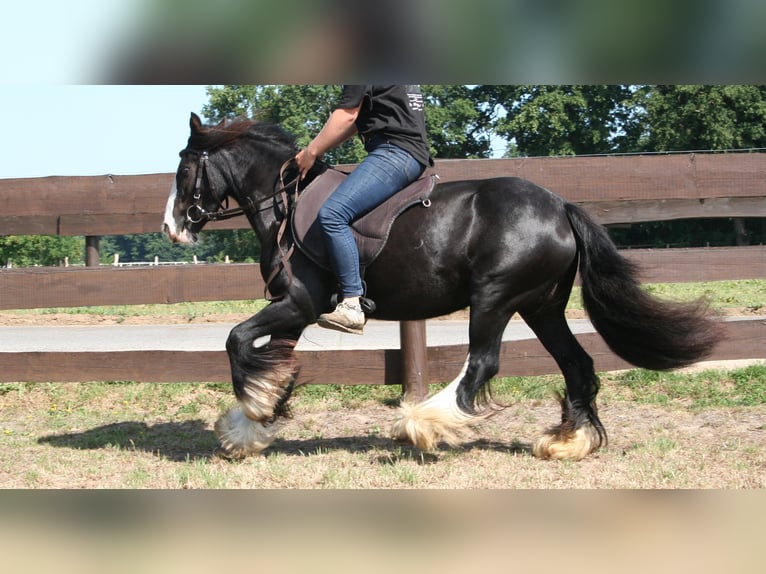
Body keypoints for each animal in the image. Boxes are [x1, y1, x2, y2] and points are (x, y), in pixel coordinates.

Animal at [164, 115, 728, 462]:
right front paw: (251, 425)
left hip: (495, 299)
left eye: (186, 166)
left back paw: (423, 424)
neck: (287, 204)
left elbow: (237, 341)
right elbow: (274, 361)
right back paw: (570, 441)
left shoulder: (299, 303)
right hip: (541, 307)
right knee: (576, 363)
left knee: (483, 363)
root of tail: (561, 206)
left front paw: (254, 415)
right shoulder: (295, 311)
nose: (173, 227)